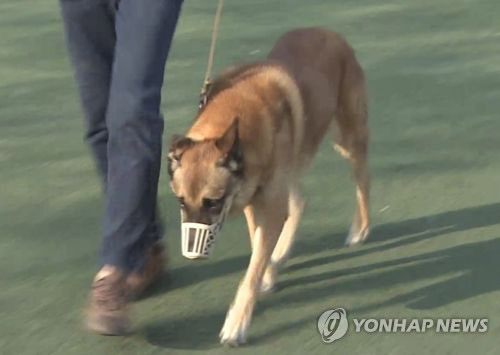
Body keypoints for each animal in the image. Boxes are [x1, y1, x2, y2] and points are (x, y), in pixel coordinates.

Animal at [166, 28, 370, 348]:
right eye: (181, 202)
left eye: (213, 202)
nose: (194, 254)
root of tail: (331, 34)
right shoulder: (255, 202)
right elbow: (258, 252)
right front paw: (269, 270)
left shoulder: (266, 206)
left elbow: (252, 270)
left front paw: (237, 322)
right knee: (299, 202)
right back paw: (281, 255)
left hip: (348, 139)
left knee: (363, 181)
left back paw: (361, 228)